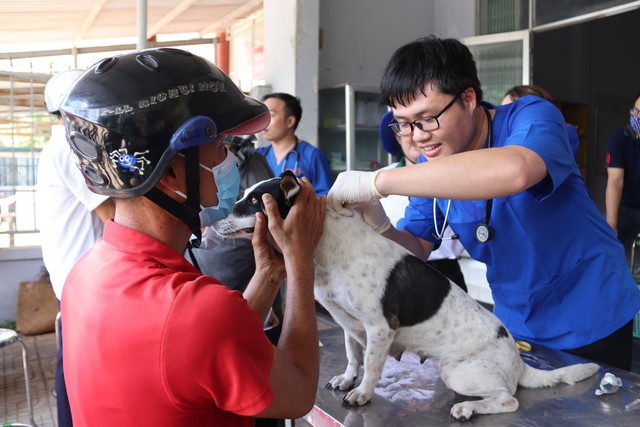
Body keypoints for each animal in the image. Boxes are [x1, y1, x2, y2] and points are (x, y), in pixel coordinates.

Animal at [214, 172, 600, 422]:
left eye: (254, 201)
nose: (213, 220)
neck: (325, 246)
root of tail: (519, 363)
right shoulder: (349, 325)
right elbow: (354, 358)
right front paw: (347, 379)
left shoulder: (380, 328)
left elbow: (371, 366)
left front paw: (363, 393)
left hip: (458, 373)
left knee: (508, 401)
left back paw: (467, 409)